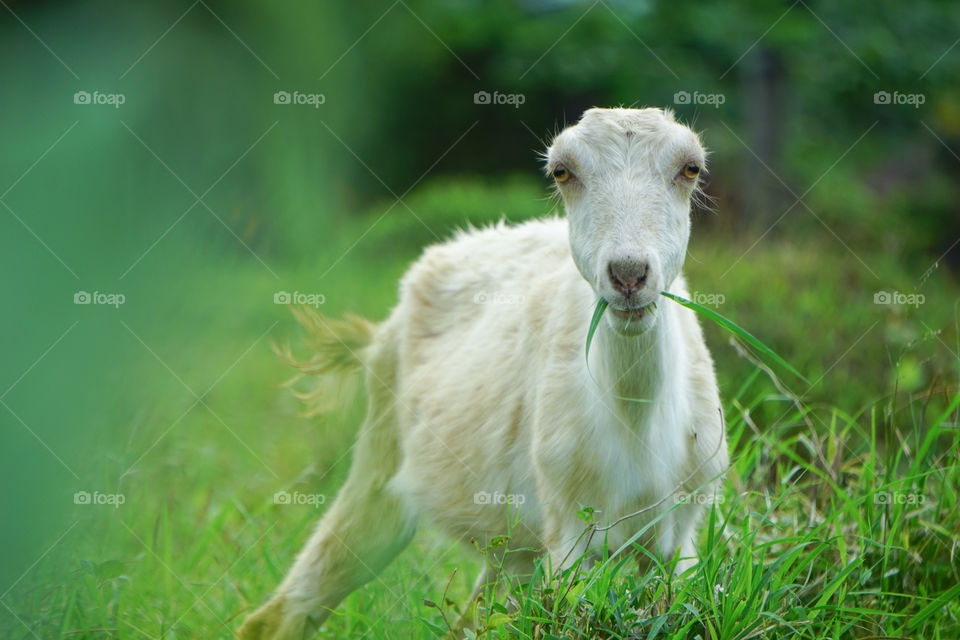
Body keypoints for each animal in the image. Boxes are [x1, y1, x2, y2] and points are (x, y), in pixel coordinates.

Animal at [238, 107, 729, 640]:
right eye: (562, 171)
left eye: (690, 168)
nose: (628, 274)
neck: (636, 426)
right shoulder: (568, 528)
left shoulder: (681, 534)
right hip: (380, 461)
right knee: (285, 610)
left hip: (509, 549)